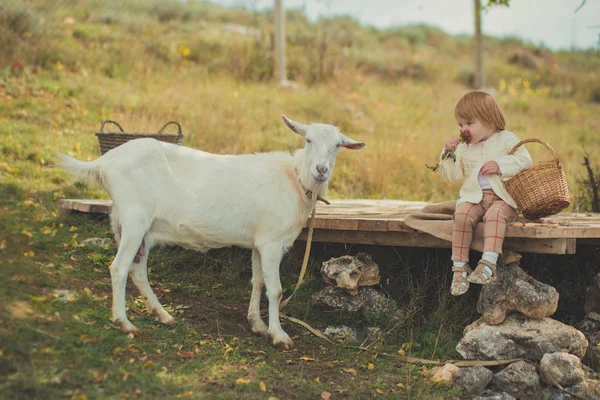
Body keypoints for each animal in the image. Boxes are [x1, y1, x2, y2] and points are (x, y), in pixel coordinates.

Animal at [59, 114, 366, 348]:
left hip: (132, 224)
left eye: (338, 145)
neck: (295, 179)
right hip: (135, 218)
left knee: (137, 270)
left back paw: (162, 315)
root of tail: (104, 163)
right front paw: (279, 336)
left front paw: (257, 324)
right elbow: (276, 289)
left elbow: (257, 282)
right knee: (119, 268)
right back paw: (124, 322)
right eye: (308, 140)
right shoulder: (272, 243)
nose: (321, 170)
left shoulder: (259, 242)